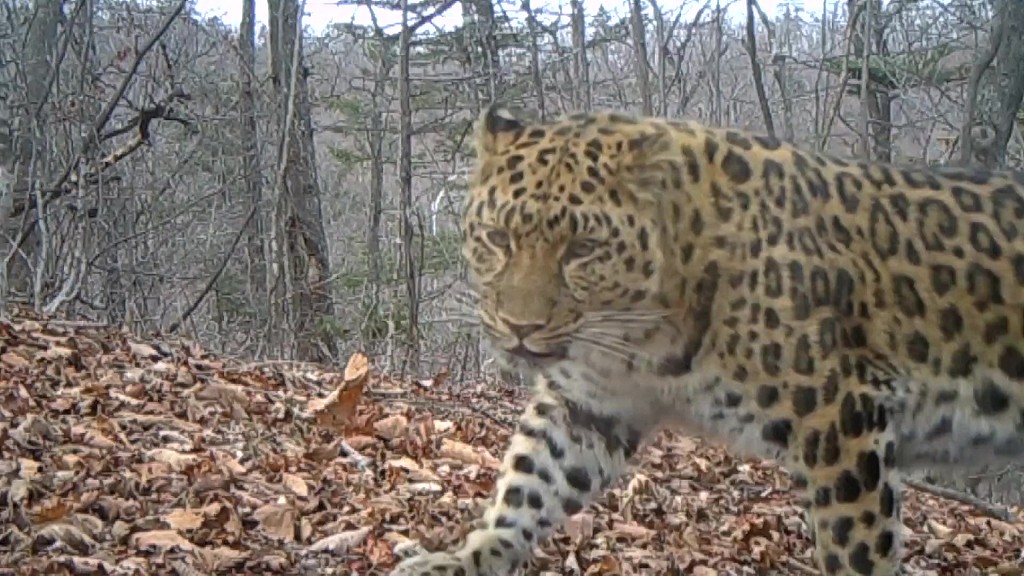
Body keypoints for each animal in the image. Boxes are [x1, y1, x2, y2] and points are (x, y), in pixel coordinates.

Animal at [385, 104, 1024, 573]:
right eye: (498, 237)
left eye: (582, 249)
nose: (521, 327)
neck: (639, 333)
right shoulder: (589, 404)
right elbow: (530, 483)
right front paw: (468, 557)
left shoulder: (843, 420)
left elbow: (857, 549)